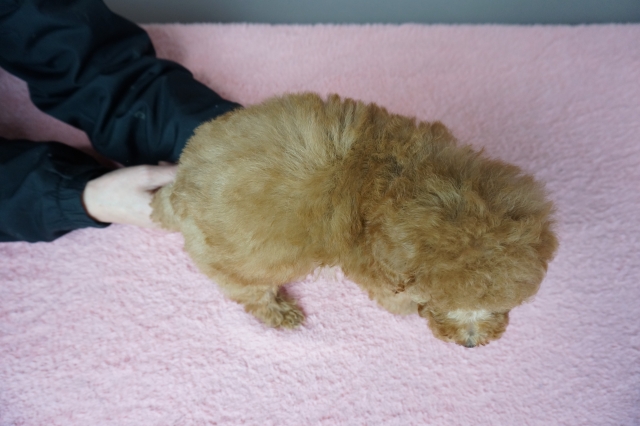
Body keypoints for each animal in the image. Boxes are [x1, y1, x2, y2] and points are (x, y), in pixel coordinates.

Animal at [151, 93, 557, 348]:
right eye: (440, 304)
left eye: (501, 304)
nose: (471, 344)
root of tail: (179, 185)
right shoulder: (376, 270)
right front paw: (406, 309)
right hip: (238, 265)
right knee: (251, 294)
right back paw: (282, 313)